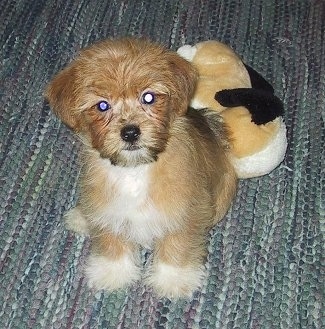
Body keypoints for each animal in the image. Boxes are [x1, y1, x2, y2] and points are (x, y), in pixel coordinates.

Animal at [45, 36, 237, 298]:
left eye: (148, 97)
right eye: (102, 106)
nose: (130, 133)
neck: (134, 170)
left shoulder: (185, 210)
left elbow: (177, 244)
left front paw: (173, 279)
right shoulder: (110, 209)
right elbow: (111, 240)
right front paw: (113, 273)